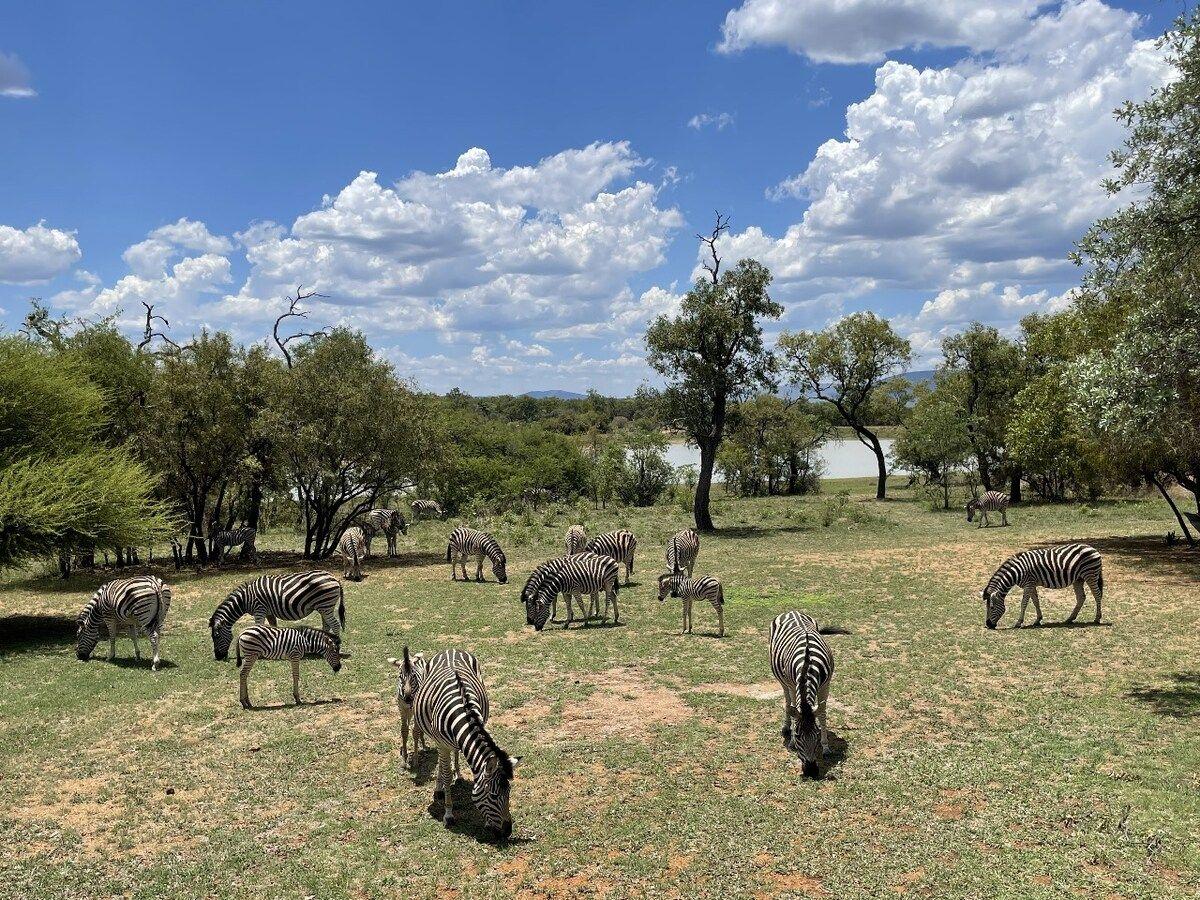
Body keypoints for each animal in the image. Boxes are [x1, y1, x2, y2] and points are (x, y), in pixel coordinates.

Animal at [208, 571, 345, 661]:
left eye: (216, 636)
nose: (218, 657)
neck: (245, 599)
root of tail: (334, 578)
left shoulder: (259, 609)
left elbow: (259, 627)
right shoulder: (269, 612)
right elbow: (273, 628)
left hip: (325, 605)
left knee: (335, 624)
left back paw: (336, 648)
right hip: (323, 607)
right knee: (327, 625)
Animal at [413, 649, 520, 841]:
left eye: (509, 792)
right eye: (493, 796)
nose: (507, 832)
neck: (461, 711)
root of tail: (450, 649)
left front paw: (486, 822)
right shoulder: (442, 744)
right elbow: (446, 775)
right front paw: (448, 814)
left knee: (455, 753)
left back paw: (457, 773)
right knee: (442, 763)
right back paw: (439, 788)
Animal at [770, 611, 836, 778]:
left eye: (816, 735)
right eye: (799, 736)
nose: (811, 771)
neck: (808, 664)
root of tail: (791, 611)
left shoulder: (825, 685)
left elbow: (822, 714)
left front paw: (826, 747)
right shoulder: (793, 685)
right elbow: (794, 711)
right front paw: (792, 740)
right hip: (783, 681)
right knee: (788, 703)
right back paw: (786, 727)